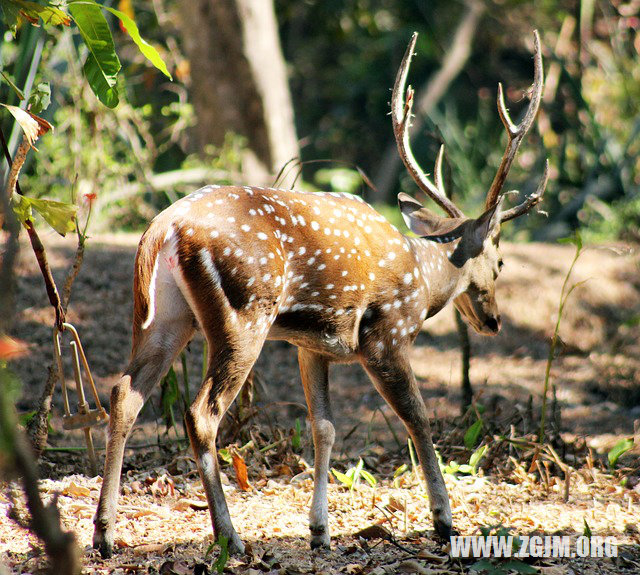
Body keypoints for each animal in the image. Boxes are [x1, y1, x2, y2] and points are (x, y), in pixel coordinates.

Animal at [92, 31, 548, 560]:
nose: (493, 321)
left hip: (163, 315)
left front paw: (320, 530)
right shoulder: (386, 336)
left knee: (124, 392)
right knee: (201, 412)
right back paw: (230, 536)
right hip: (243, 313)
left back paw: (105, 533)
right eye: (501, 262)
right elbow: (417, 417)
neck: (422, 275)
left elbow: (323, 427)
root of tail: (163, 227)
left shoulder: (313, 345)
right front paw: (444, 521)